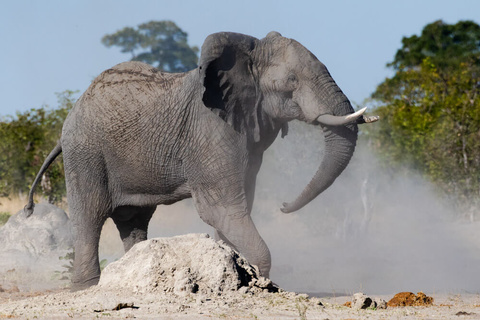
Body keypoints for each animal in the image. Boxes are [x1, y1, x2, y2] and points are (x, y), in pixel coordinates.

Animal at [24, 31, 378, 292]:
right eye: (291, 81)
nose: (283, 205)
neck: (247, 55)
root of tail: (70, 116)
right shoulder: (212, 132)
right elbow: (221, 209)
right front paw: (257, 279)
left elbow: (237, 210)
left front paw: (235, 271)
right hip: (86, 152)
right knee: (90, 216)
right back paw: (86, 288)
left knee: (133, 220)